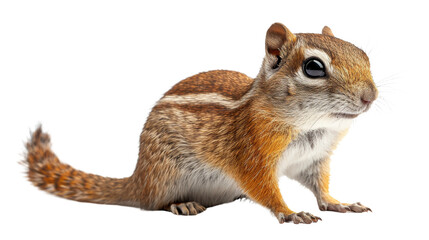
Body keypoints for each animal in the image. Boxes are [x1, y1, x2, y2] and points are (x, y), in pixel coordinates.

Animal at [25, 23, 376, 224]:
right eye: (314, 67)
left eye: (363, 54)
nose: (370, 96)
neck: (311, 125)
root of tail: (138, 180)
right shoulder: (251, 156)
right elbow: (264, 188)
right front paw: (289, 211)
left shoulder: (314, 160)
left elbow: (321, 187)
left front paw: (339, 203)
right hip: (166, 175)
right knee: (153, 204)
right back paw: (182, 205)